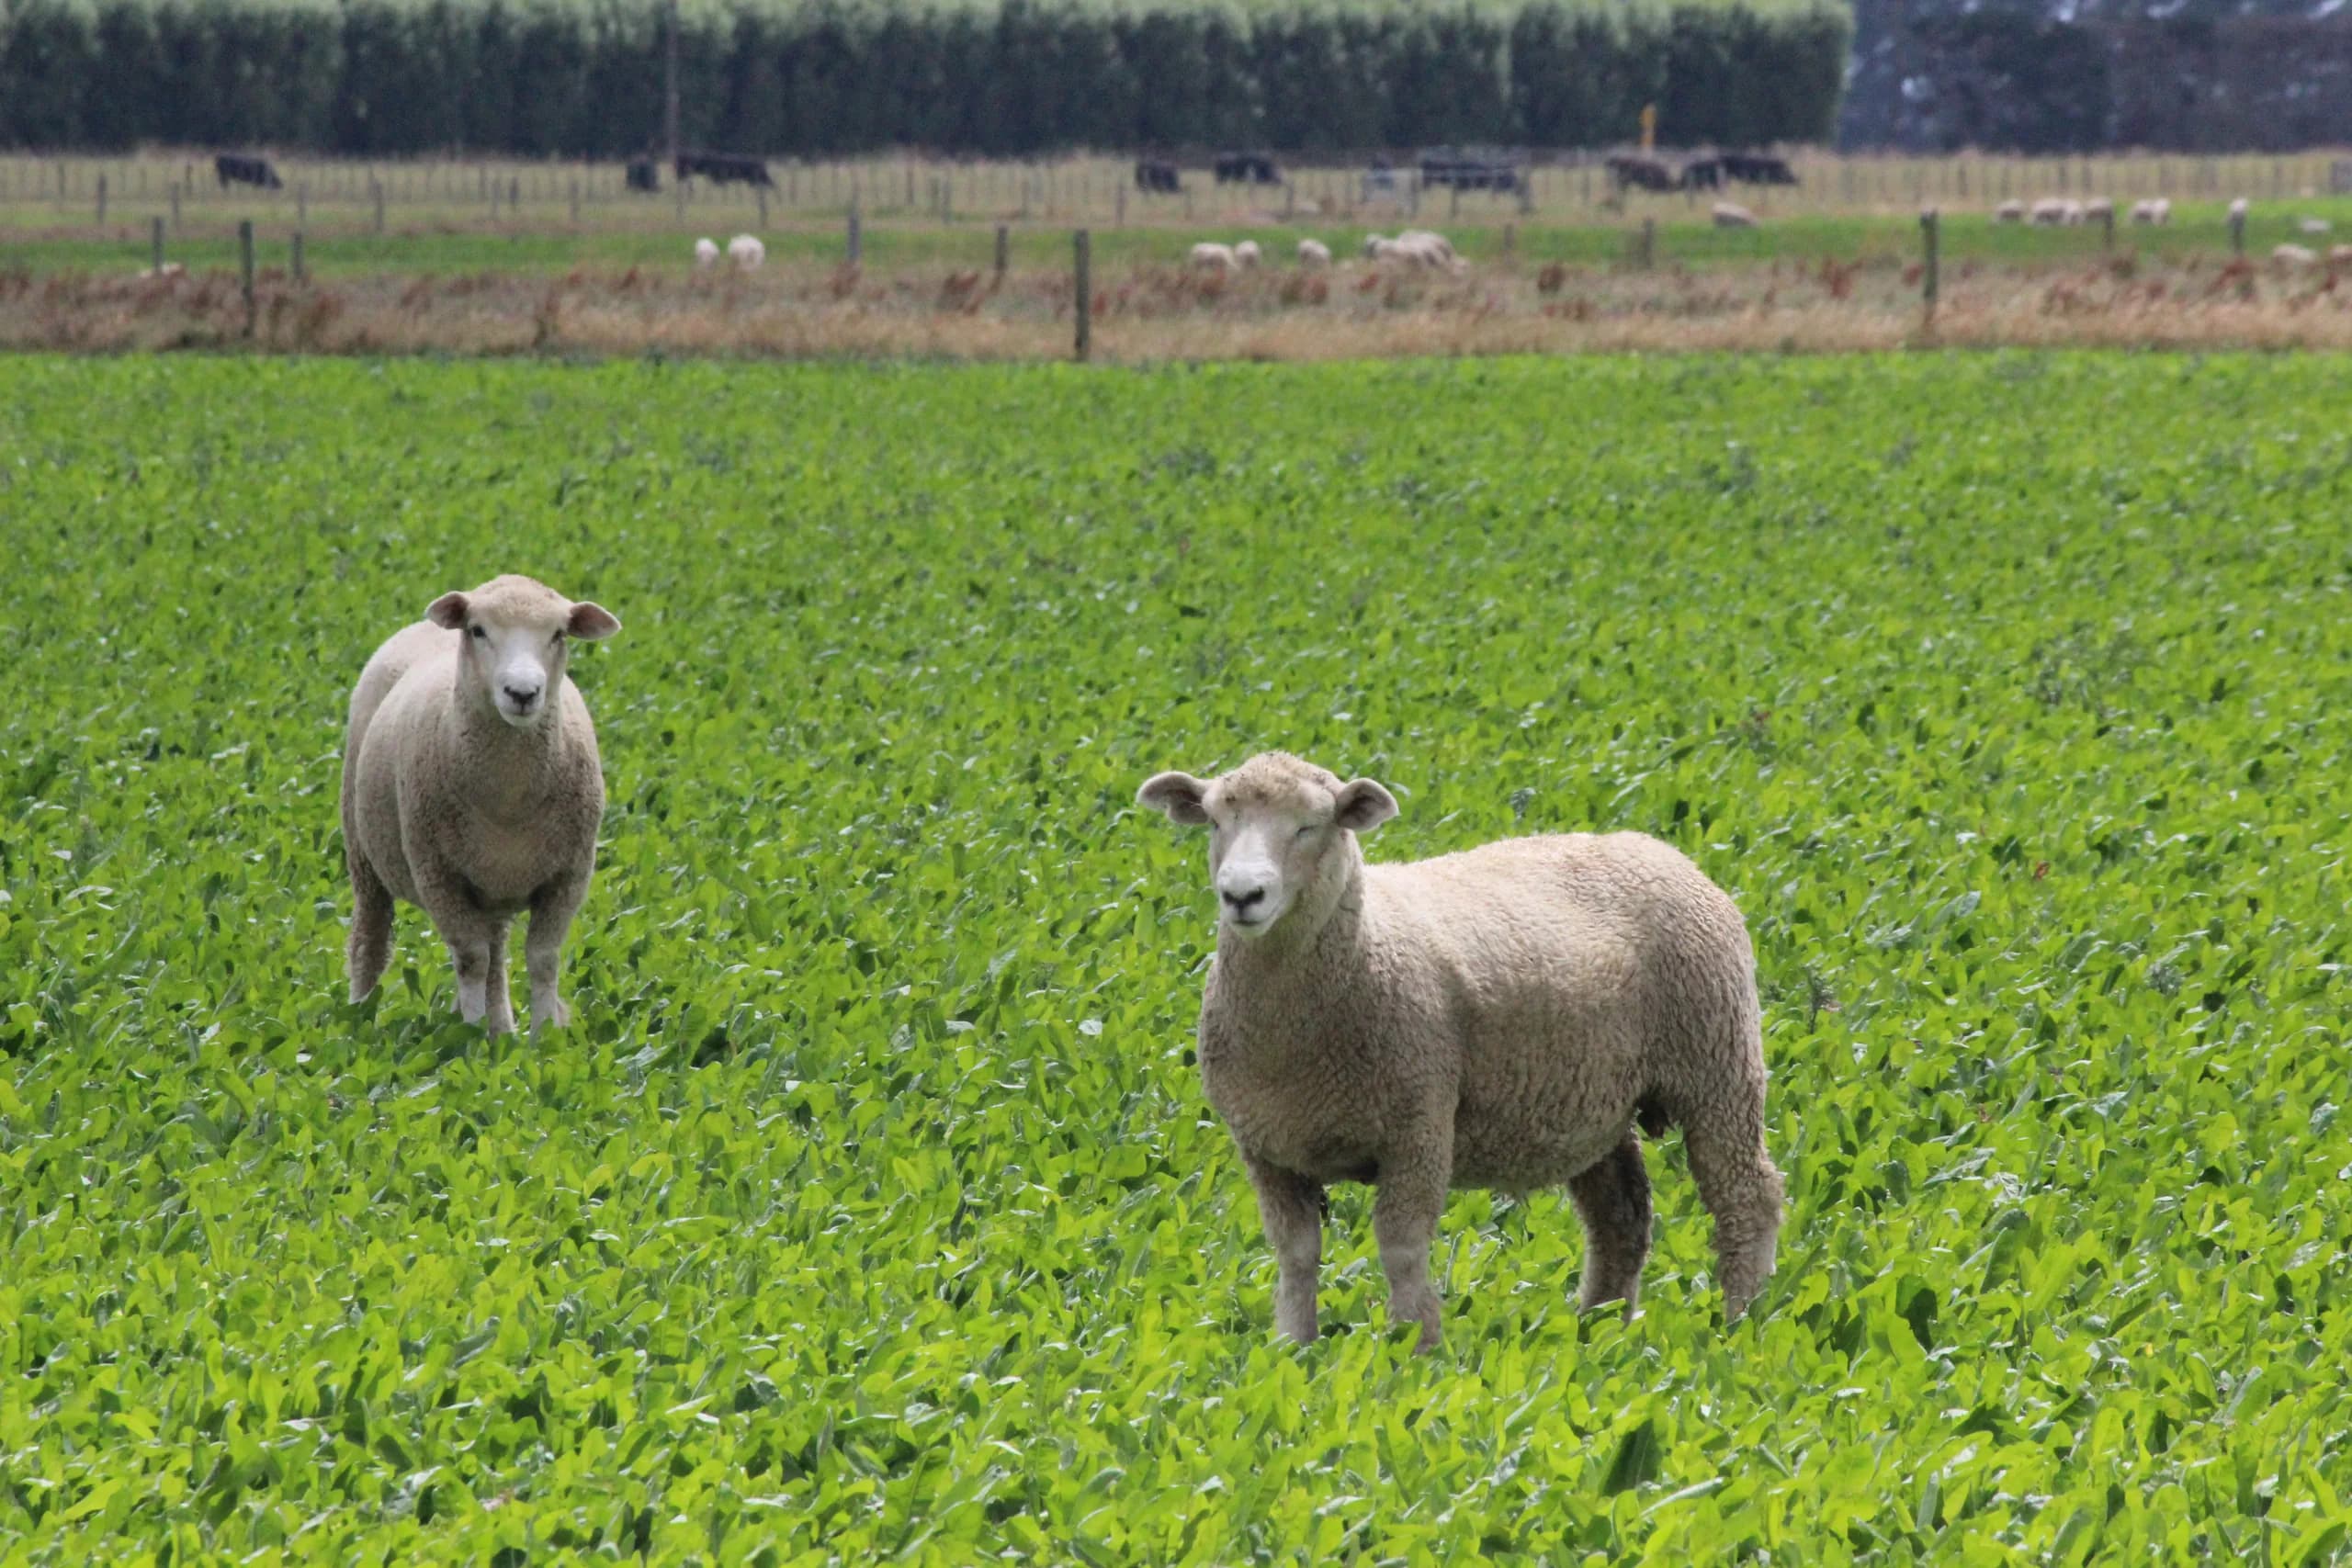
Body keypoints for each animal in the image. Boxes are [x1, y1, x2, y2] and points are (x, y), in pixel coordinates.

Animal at [343, 575, 621, 1036]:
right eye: (477, 630)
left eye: (558, 634)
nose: (523, 693)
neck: (508, 802)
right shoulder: (438, 874)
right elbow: (471, 960)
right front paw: (469, 1038)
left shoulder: (569, 874)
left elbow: (542, 960)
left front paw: (544, 1038)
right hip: (364, 853)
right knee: (372, 937)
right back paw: (357, 1018)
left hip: (492, 887)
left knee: (497, 954)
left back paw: (503, 1031)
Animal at [1137, 752, 1783, 1352]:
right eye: (1214, 821)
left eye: (1310, 826)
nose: (1242, 895)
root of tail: (1657, 848)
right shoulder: (1267, 1147)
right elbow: (1295, 1253)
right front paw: (1293, 1349)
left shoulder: (1418, 1125)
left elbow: (1400, 1246)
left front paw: (1414, 1350)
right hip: (1592, 1103)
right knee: (1620, 1215)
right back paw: (1595, 1334)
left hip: (1717, 1063)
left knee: (1747, 1196)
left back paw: (1739, 1325)